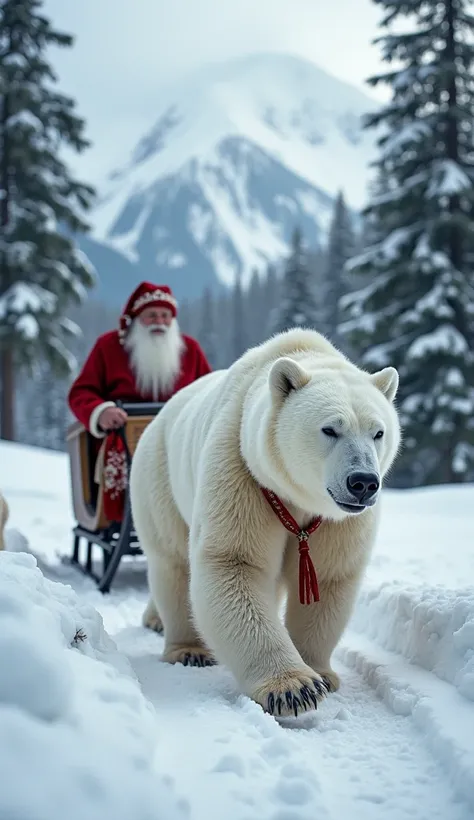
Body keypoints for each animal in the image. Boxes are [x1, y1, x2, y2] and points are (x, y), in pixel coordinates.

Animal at [130, 328, 400, 716]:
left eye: (378, 432)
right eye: (330, 429)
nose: (363, 482)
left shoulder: (338, 521)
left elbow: (327, 576)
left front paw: (321, 674)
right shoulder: (242, 470)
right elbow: (234, 562)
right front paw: (294, 689)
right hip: (160, 477)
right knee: (172, 561)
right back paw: (186, 648)